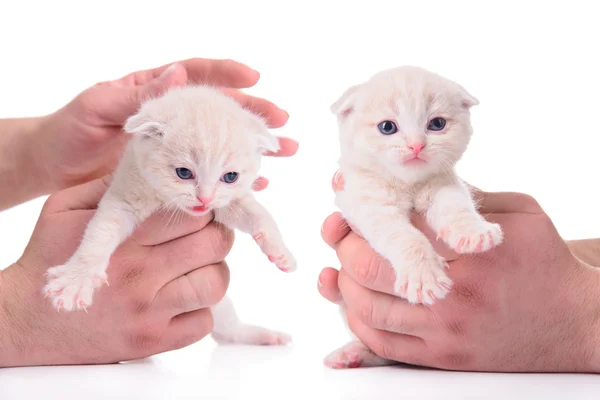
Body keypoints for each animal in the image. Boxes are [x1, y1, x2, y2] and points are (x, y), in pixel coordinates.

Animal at [41, 86, 296, 346]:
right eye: (183, 173)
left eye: (230, 177)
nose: (204, 199)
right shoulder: (124, 194)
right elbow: (100, 234)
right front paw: (76, 279)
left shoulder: (226, 204)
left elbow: (257, 213)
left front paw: (281, 251)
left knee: (227, 331)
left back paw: (263, 335)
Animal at [326, 65, 504, 368]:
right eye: (387, 127)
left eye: (437, 124)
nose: (417, 146)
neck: (408, 184)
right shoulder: (369, 204)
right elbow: (406, 238)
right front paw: (424, 277)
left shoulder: (444, 185)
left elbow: (457, 208)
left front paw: (474, 233)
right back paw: (352, 354)